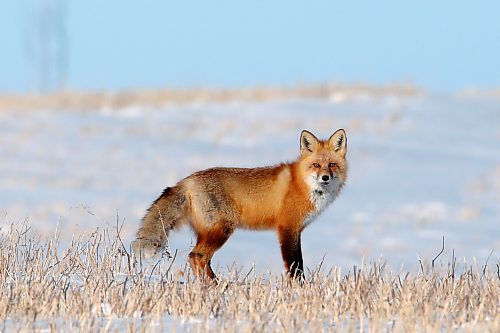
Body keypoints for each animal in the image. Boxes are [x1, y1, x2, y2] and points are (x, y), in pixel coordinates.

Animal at [135, 128, 350, 278]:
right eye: (316, 165)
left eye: (332, 165)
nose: (325, 177)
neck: (303, 184)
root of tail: (187, 180)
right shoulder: (288, 228)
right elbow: (295, 266)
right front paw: (299, 290)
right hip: (222, 229)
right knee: (197, 256)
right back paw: (216, 286)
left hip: (207, 232)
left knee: (197, 258)